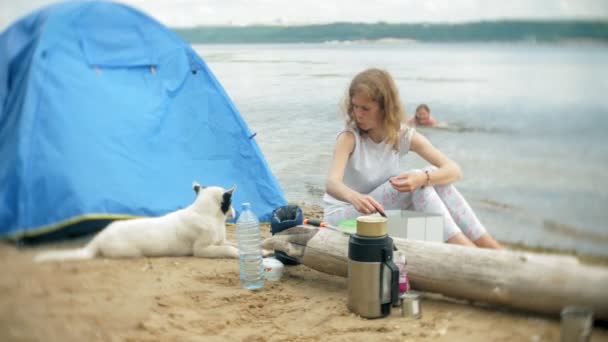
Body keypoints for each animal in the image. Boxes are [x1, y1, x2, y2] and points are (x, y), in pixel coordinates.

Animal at [34, 183, 240, 260]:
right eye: (230, 202)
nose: (235, 212)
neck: (208, 215)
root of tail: (99, 237)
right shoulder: (202, 250)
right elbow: (228, 249)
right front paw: (237, 254)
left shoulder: (221, 240)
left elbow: (232, 243)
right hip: (130, 252)